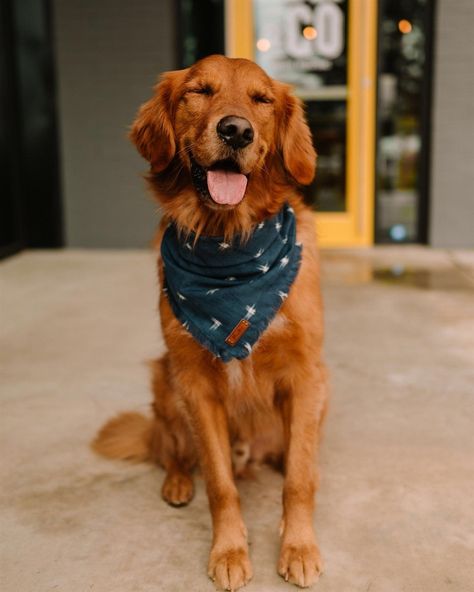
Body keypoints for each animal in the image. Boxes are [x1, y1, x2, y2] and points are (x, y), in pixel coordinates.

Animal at [94, 54, 328, 588]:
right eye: (199, 91)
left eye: (262, 100)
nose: (236, 130)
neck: (231, 242)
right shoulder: (196, 385)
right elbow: (220, 485)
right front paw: (229, 552)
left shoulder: (307, 374)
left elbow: (300, 479)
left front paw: (298, 544)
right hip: (165, 381)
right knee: (172, 450)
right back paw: (178, 482)